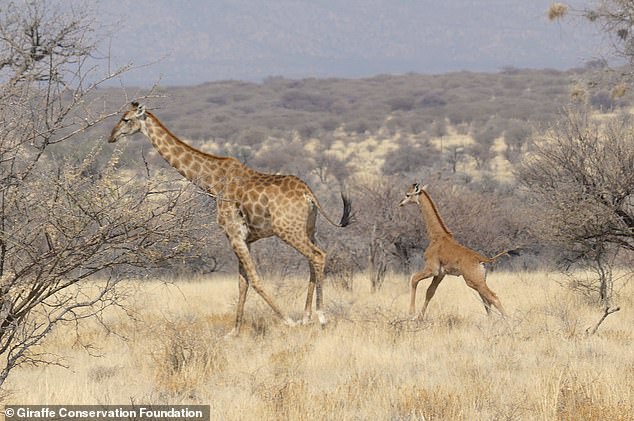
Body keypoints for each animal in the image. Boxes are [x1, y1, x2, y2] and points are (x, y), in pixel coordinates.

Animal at [106, 101, 348, 334]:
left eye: (125, 119)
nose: (111, 137)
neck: (213, 182)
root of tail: (309, 194)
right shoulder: (245, 239)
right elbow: (243, 283)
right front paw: (235, 331)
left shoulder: (234, 235)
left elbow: (254, 279)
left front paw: (289, 321)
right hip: (308, 229)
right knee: (312, 260)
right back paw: (307, 317)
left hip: (288, 230)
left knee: (317, 256)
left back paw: (320, 317)